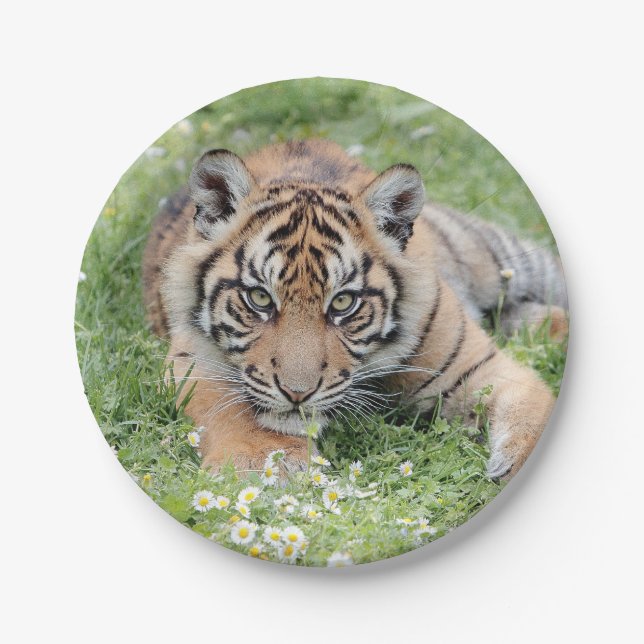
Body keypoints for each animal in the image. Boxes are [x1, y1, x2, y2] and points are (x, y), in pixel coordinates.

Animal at [142, 139, 567, 480]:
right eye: (260, 298)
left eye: (343, 302)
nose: (297, 394)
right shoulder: (193, 359)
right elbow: (226, 408)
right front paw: (261, 462)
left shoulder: (476, 366)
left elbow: (529, 405)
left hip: (497, 258)